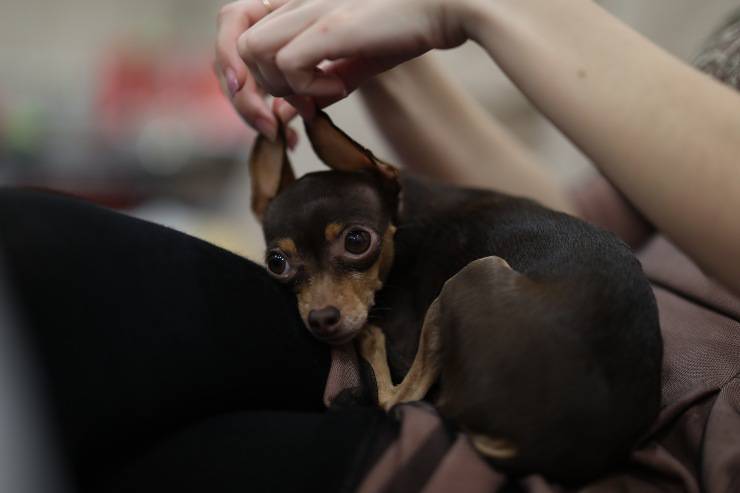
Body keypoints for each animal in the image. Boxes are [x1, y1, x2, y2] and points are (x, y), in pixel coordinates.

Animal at [247, 110, 660, 480]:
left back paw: (370, 342)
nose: (321, 319)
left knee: (398, 398)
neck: (402, 218)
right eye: (277, 263)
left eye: (357, 241)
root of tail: (543, 449)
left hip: (470, 276)